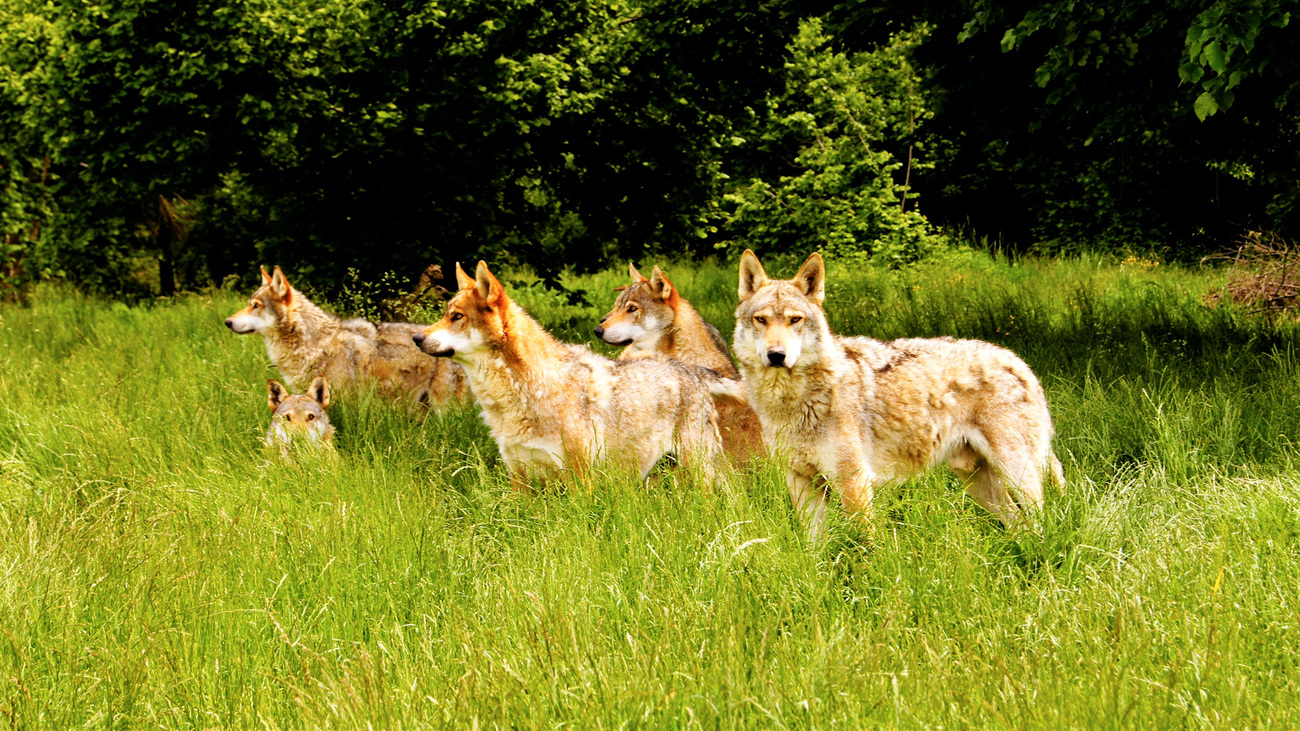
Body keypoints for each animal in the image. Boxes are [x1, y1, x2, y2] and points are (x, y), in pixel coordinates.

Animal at [413, 258, 733, 486]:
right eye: (445, 315)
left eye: (456, 317)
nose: (416, 337)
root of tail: (689, 368)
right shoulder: (520, 478)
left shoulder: (580, 479)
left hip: (697, 471)